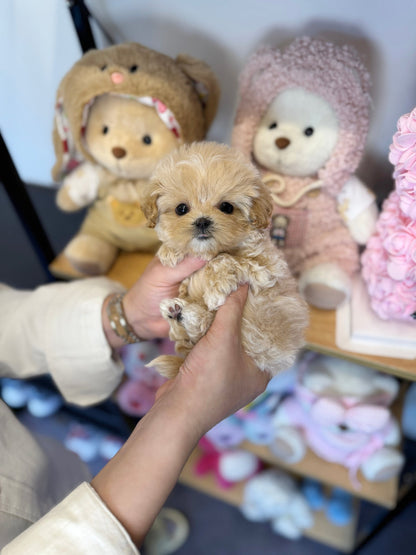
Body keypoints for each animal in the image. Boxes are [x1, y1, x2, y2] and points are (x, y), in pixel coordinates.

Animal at [141, 141, 308, 380]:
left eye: (227, 207)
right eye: (181, 208)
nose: (202, 221)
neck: (208, 250)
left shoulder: (265, 269)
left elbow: (225, 259)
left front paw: (215, 290)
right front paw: (170, 251)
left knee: (202, 327)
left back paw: (185, 314)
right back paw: (177, 312)